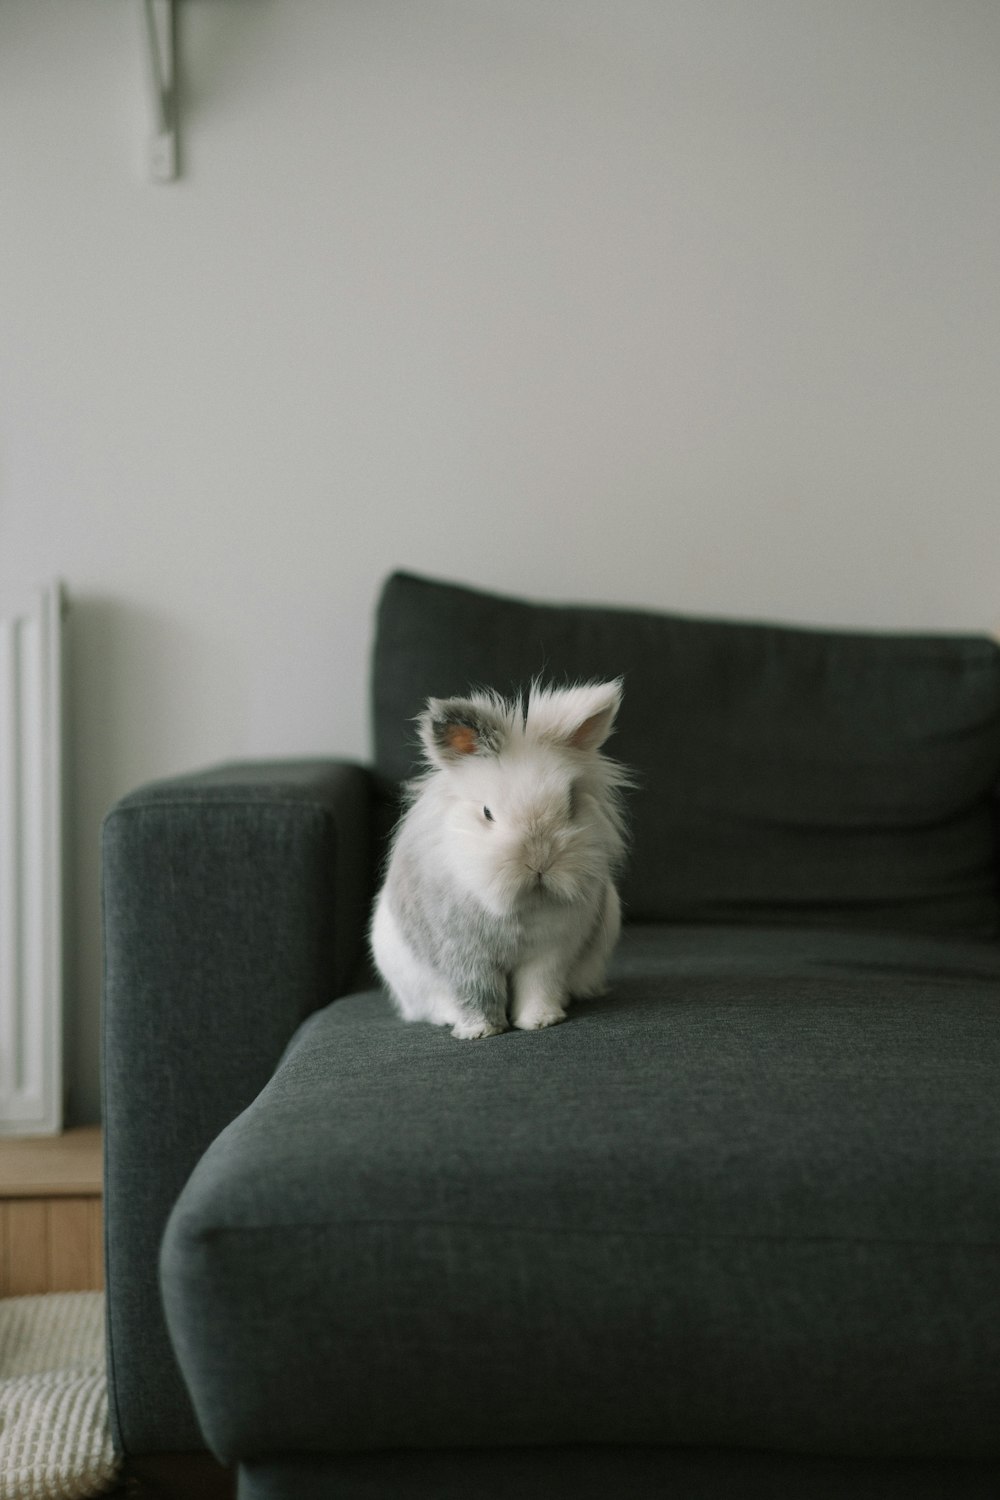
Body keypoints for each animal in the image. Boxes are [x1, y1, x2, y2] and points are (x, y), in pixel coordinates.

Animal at [371, 684, 629, 1044]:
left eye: (570, 805)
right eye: (487, 813)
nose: (539, 861)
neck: (522, 907)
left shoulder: (549, 953)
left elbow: (538, 986)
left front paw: (541, 1021)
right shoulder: (464, 955)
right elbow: (476, 993)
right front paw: (479, 1031)